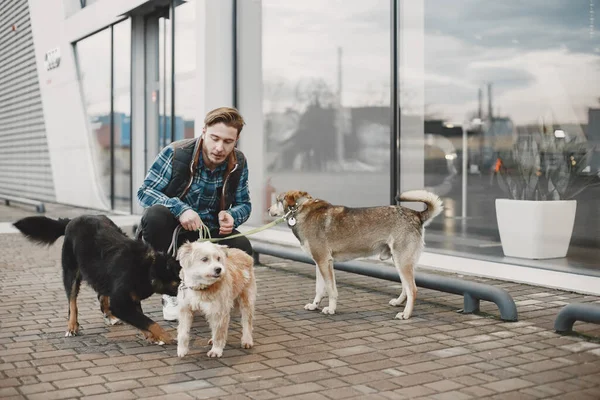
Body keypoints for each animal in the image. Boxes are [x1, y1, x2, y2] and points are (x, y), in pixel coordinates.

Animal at [13, 216, 180, 344]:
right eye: (180, 280)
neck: (147, 267)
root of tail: (72, 220)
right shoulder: (120, 303)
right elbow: (148, 321)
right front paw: (166, 337)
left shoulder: (130, 298)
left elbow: (141, 319)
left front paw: (152, 337)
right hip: (71, 273)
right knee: (72, 302)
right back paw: (72, 327)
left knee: (101, 295)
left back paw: (109, 316)